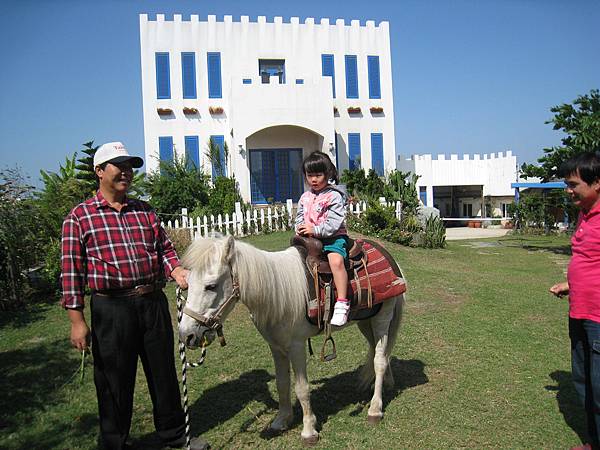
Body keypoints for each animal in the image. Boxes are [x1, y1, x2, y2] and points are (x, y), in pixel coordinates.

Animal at [177, 234, 404, 444]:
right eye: (188, 282)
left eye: (211, 286)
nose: (186, 335)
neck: (277, 292)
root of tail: (387, 255)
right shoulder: (276, 347)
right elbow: (282, 383)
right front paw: (281, 420)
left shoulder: (296, 346)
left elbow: (301, 388)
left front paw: (309, 431)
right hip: (366, 321)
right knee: (379, 351)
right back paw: (387, 383)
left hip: (383, 318)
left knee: (379, 360)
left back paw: (375, 409)